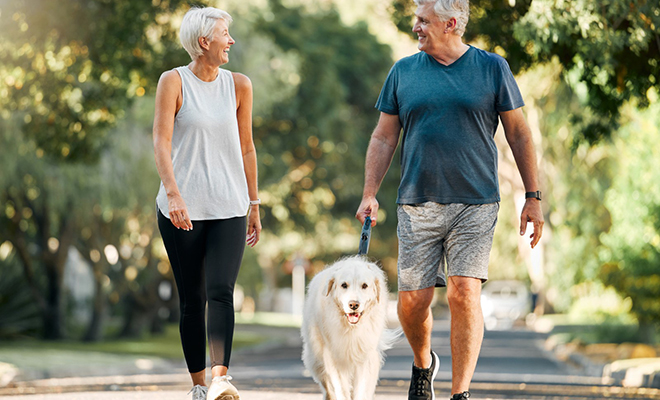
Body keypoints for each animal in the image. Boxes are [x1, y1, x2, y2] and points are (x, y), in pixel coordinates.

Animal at [302, 256, 400, 400]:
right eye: (344, 285)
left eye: (364, 286)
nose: (353, 304)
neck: (352, 328)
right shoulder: (334, 356)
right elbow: (341, 388)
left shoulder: (366, 356)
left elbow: (362, 389)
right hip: (316, 358)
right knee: (328, 387)